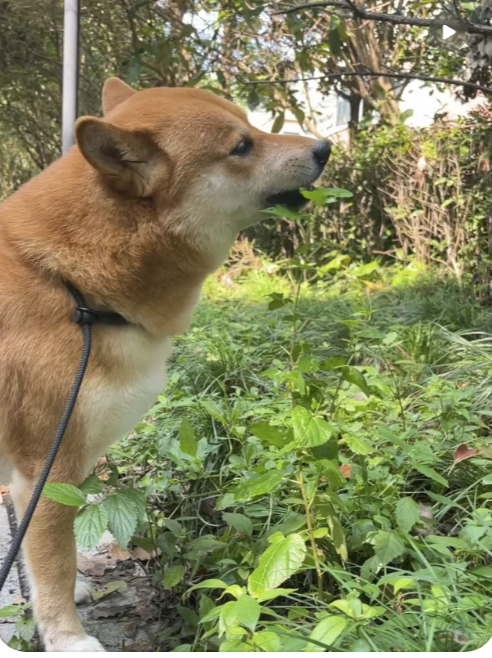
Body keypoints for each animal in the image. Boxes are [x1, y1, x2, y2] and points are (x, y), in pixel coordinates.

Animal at [0, 78, 330, 651]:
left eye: (254, 126)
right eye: (241, 146)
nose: (325, 149)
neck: (69, 284)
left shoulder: (43, 478)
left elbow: (43, 553)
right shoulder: (45, 467)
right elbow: (52, 560)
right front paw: (67, 638)